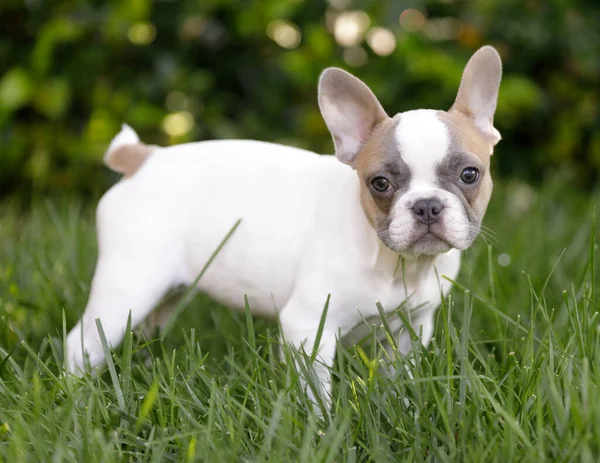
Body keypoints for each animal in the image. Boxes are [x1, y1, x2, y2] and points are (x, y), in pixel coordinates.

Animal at [68, 45, 504, 408]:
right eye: (380, 183)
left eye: (470, 174)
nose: (427, 206)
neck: (394, 264)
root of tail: (142, 157)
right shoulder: (308, 326)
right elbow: (315, 392)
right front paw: (324, 427)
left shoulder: (412, 329)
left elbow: (401, 376)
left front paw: (405, 410)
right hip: (128, 283)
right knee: (83, 341)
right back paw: (76, 395)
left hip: (163, 292)